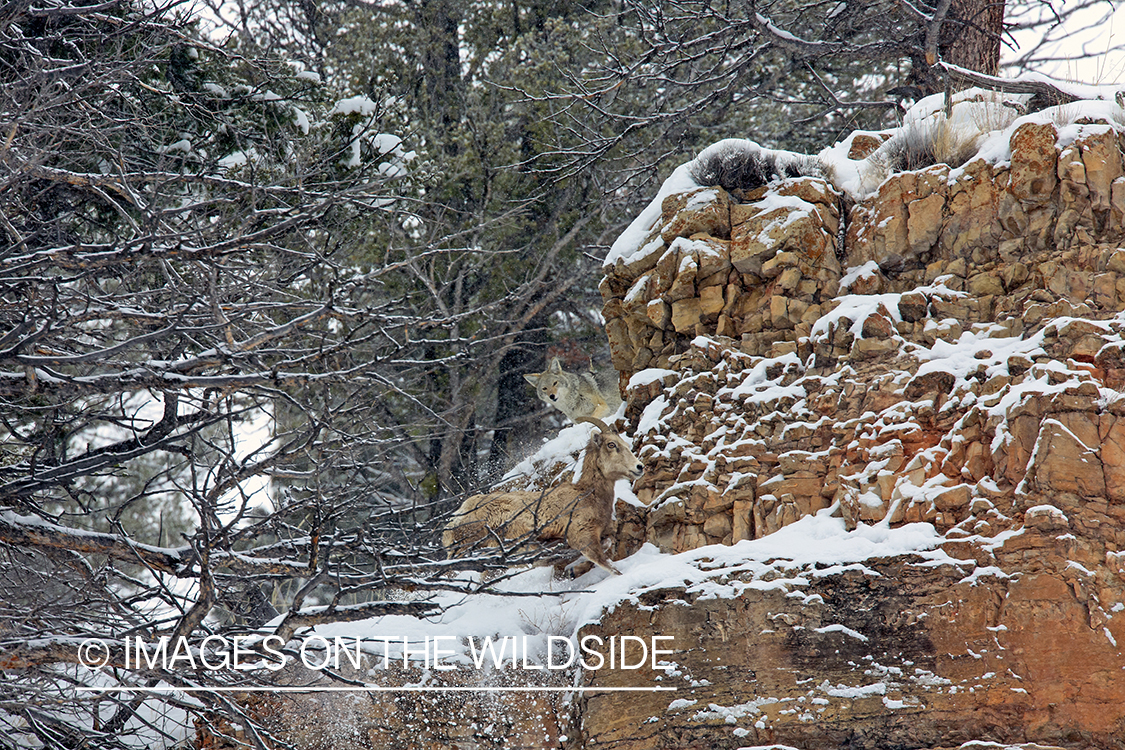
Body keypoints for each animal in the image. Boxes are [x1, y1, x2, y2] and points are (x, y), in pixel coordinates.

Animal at [442, 417, 644, 575]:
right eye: (611, 445)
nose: (639, 467)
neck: (586, 494)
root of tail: (456, 518)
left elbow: (607, 544)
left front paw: (572, 571)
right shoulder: (582, 537)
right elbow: (610, 567)